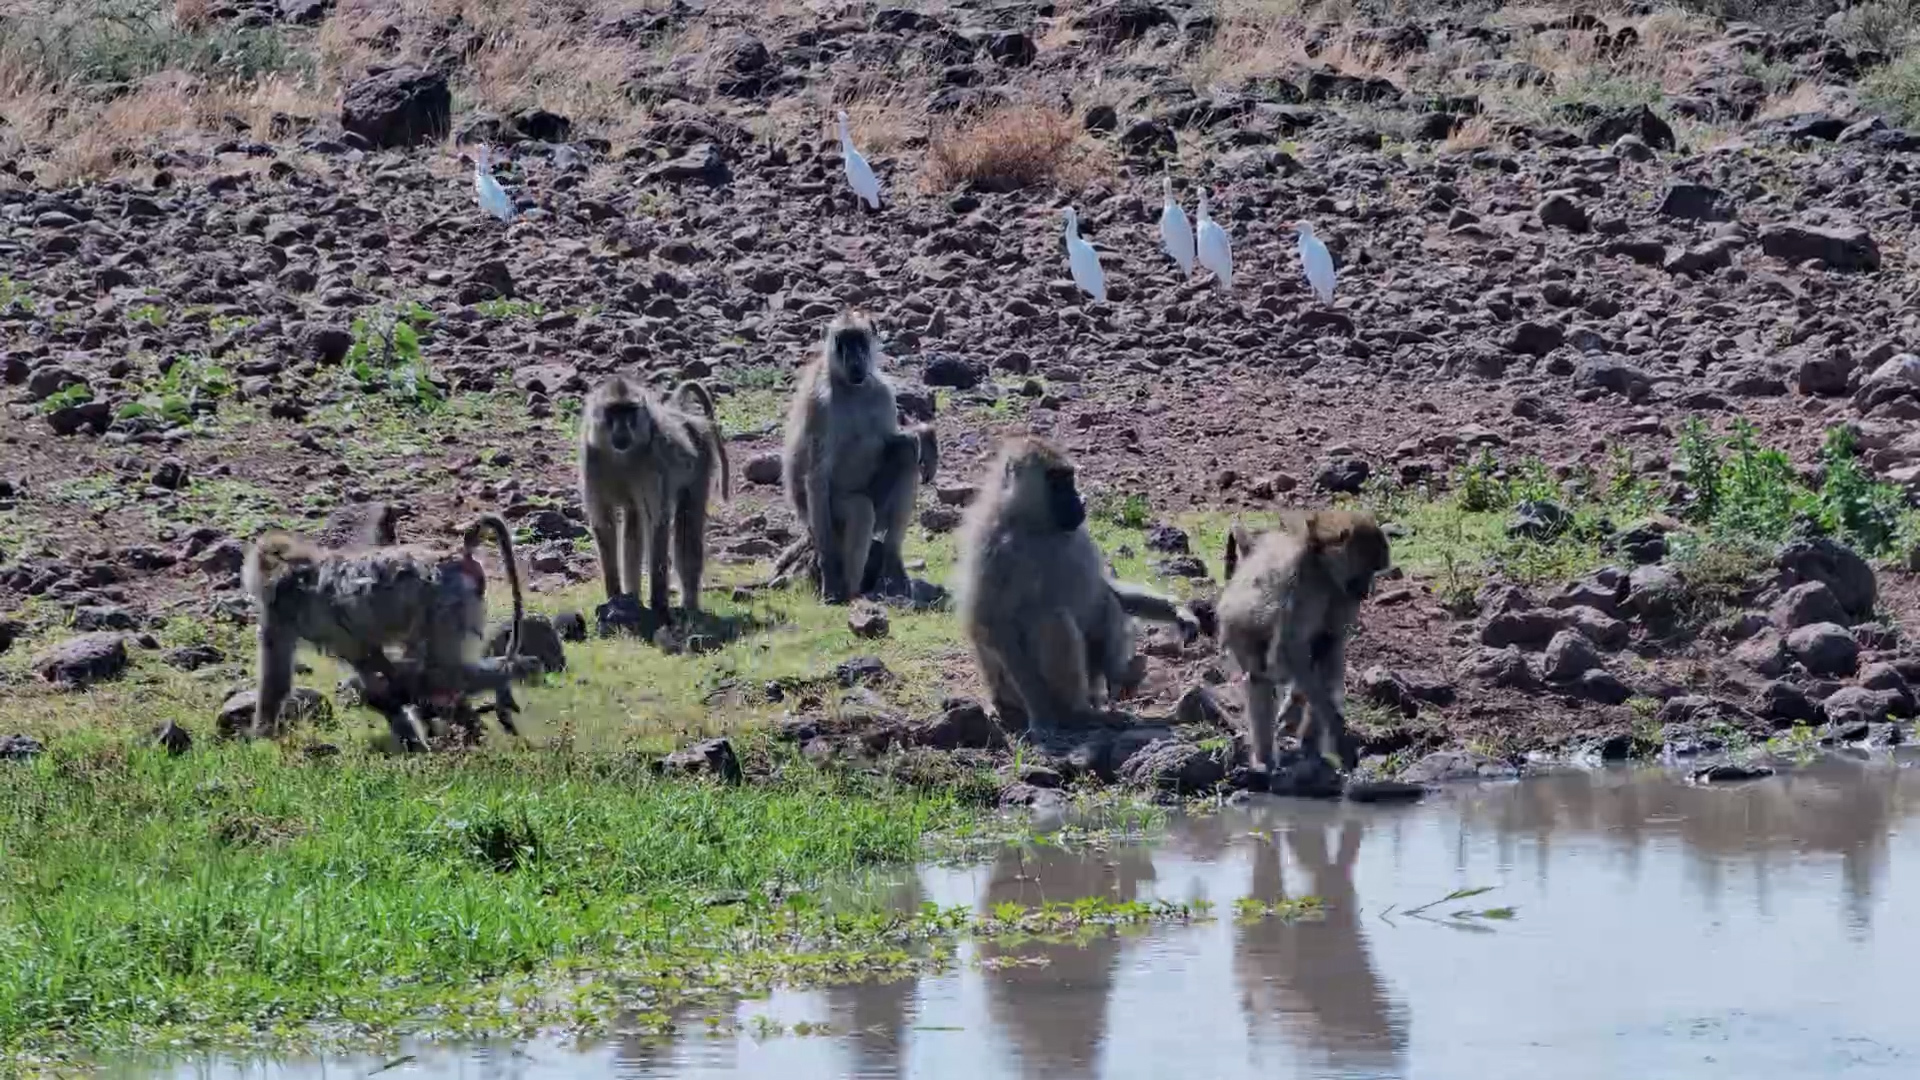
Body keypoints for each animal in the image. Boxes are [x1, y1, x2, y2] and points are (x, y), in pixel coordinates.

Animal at [242, 515, 525, 752]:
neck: (301, 575)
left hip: (448, 604)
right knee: (428, 669)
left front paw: (260, 737)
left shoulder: (292, 612)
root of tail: (456, 554)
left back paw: (501, 685)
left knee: (440, 670)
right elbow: (376, 668)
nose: (260, 598)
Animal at [579, 375, 731, 624]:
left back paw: (688, 605)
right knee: (633, 521)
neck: (622, 456)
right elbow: (604, 523)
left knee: (687, 527)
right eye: (613, 412)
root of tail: (684, 417)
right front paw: (613, 597)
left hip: (701, 465)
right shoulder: (591, 457)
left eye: (629, 412)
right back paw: (632, 597)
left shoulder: (654, 459)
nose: (622, 430)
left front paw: (659, 606)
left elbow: (656, 521)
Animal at [781, 311, 935, 603]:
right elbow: (817, 477)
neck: (850, 389)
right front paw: (830, 573)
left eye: (860, 340)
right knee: (861, 510)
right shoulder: (820, 405)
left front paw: (925, 435)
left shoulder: (882, 391)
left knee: (905, 454)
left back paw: (892, 563)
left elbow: (893, 440)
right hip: (831, 520)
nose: (855, 359)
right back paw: (853, 592)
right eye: (843, 342)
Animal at [954, 436, 1200, 735]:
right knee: (1053, 619)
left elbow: (1106, 588)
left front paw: (1179, 613)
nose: (1079, 502)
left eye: (1069, 477)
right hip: (1008, 689)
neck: (1033, 524)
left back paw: (1119, 680)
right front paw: (1042, 716)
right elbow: (992, 623)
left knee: (1106, 602)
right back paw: (1079, 713)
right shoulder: (993, 547)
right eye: (1056, 481)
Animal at [1215, 509, 1391, 777]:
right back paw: (1266, 759)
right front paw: (1338, 731)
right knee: (1260, 678)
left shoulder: (1340, 594)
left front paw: (1297, 711)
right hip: (1238, 630)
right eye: (1368, 569)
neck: (1321, 562)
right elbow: (1288, 648)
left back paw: (1310, 746)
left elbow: (1329, 641)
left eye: (1374, 571)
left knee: (1323, 654)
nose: (1367, 590)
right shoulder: (1304, 581)